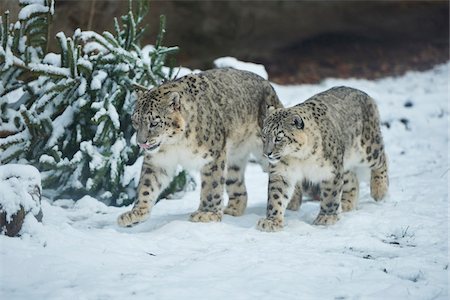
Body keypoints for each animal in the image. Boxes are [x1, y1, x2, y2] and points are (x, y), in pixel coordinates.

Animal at [118, 68, 284, 227]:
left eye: (154, 123)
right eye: (135, 121)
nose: (141, 142)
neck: (176, 144)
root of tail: (269, 85)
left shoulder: (213, 156)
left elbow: (212, 185)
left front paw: (207, 213)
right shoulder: (158, 161)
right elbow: (147, 185)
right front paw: (136, 213)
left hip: (266, 152)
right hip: (235, 158)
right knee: (237, 184)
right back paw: (233, 210)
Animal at [258, 86, 388, 232]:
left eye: (279, 138)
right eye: (264, 135)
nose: (267, 153)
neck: (299, 158)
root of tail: (364, 94)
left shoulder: (331, 171)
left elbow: (330, 195)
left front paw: (326, 218)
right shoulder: (281, 172)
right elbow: (276, 196)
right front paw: (271, 221)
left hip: (368, 148)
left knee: (381, 159)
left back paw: (379, 191)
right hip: (345, 161)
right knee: (352, 179)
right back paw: (346, 204)